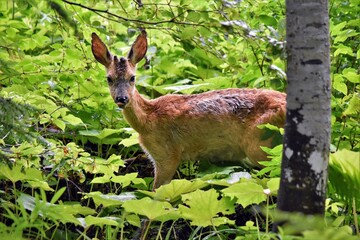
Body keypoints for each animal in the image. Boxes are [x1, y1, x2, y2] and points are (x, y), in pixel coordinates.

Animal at [91, 30, 286, 189]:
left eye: (132, 77)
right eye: (109, 78)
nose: (122, 99)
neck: (148, 120)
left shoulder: (167, 154)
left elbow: (157, 194)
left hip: (261, 143)